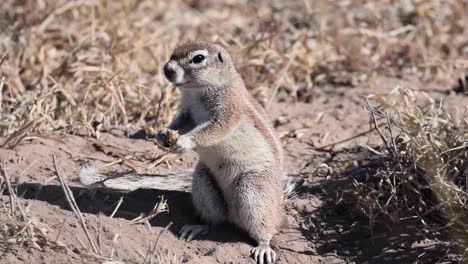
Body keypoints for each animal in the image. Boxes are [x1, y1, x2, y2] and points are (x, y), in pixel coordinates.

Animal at [157, 41, 288, 264]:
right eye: (173, 52)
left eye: (198, 58)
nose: (167, 70)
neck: (197, 91)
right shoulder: (188, 111)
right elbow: (181, 121)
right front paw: (162, 134)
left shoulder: (228, 110)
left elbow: (214, 129)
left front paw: (184, 141)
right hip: (203, 180)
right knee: (216, 220)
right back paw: (199, 226)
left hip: (255, 190)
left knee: (264, 227)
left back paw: (264, 247)